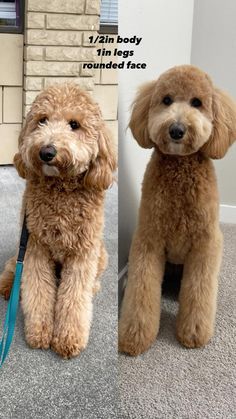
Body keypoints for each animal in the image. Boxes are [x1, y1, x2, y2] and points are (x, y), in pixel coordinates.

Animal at [0, 83, 117, 360]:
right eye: (42, 120)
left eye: (74, 124)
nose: (46, 151)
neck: (61, 191)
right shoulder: (35, 246)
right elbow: (38, 290)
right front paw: (39, 332)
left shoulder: (83, 254)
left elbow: (74, 298)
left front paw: (68, 338)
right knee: (13, 267)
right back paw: (9, 286)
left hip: (102, 255)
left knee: (92, 280)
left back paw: (94, 287)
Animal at [119, 65, 236, 354]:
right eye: (167, 100)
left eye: (197, 103)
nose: (176, 130)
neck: (180, 170)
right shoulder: (149, 240)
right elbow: (141, 291)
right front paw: (136, 335)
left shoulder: (206, 244)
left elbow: (199, 293)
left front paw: (194, 333)